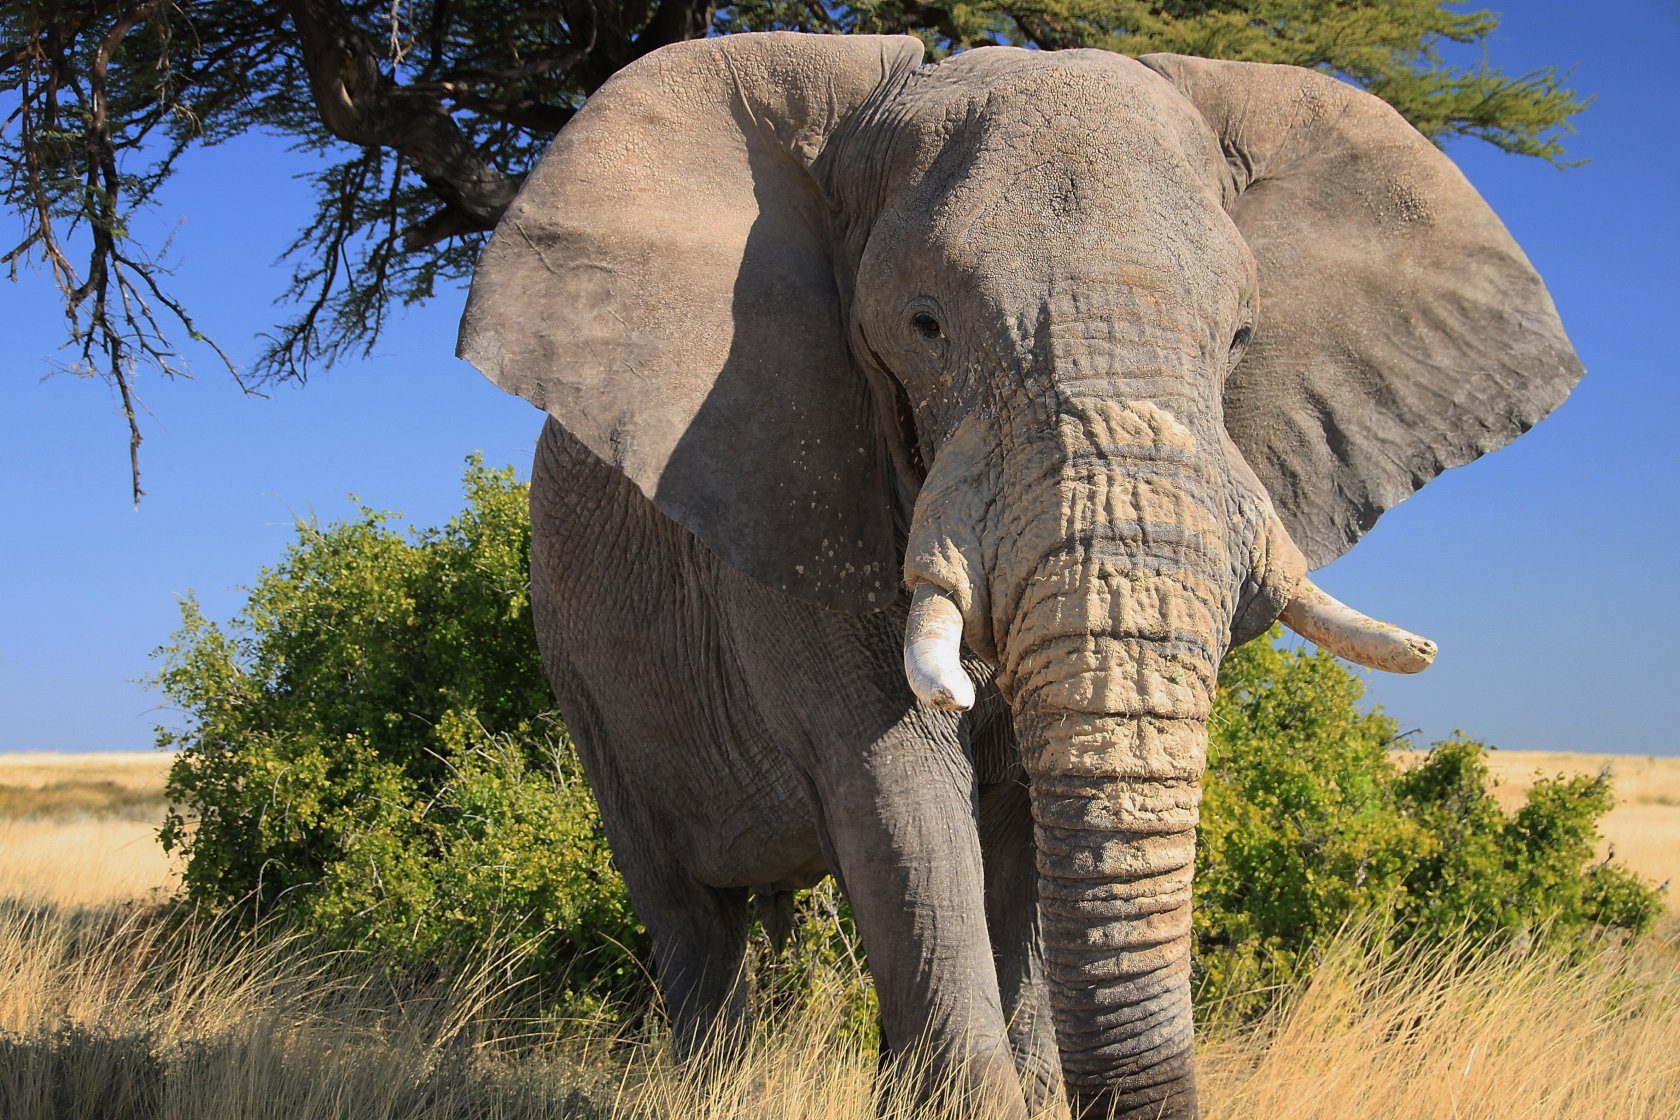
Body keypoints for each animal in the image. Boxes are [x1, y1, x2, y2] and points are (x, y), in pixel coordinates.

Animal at [456, 31, 1582, 1120]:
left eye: (1241, 337)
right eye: (925, 325)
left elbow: (1035, 833)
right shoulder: (792, 496)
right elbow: (901, 790)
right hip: (579, 664)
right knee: (690, 915)